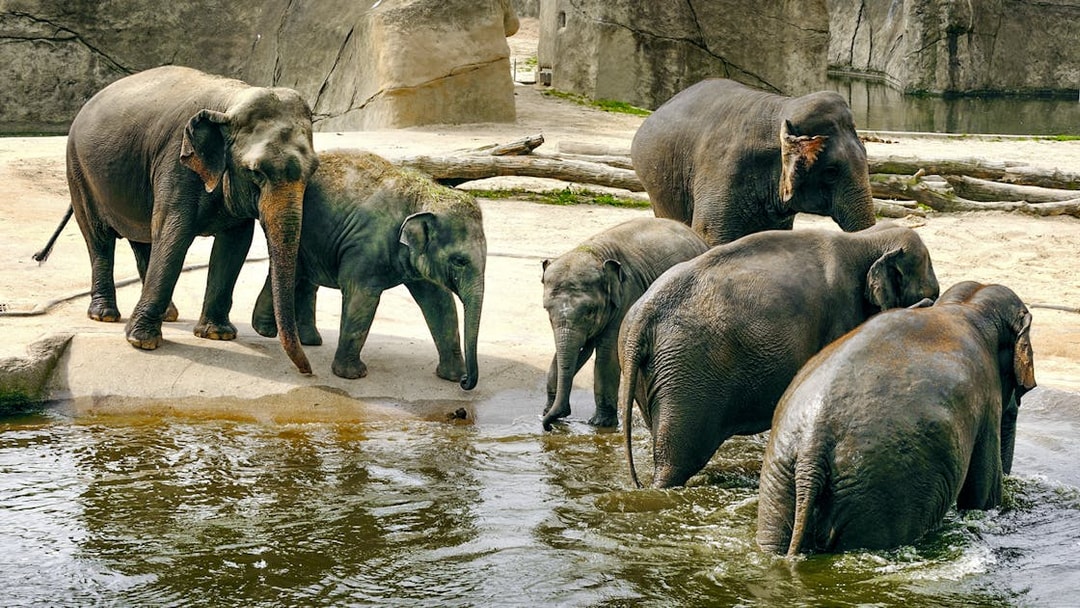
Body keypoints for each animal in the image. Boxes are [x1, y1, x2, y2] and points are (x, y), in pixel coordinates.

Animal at [34, 66, 319, 373]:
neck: (231, 103)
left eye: (314, 169)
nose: (307, 371)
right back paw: (105, 315)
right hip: (79, 172)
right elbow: (175, 234)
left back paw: (168, 314)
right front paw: (142, 342)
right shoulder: (176, 163)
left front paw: (217, 334)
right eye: (256, 172)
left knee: (143, 238)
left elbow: (235, 244)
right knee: (100, 239)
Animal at [251, 150, 486, 388]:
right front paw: (351, 375)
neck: (424, 195)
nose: (466, 381)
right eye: (459, 261)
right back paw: (267, 331)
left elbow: (439, 301)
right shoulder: (365, 246)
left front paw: (452, 376)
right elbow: (362, 297)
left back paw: (305, 339)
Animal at [541, 217, 709, 430]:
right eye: (547, 311)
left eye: (590, 311)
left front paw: (601, 424)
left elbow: (607, 354)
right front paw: (546, 411)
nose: (550, 425)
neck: (595, 252)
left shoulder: (628, 297)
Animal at [618, 222, 940, 489]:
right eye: (933, 295)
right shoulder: (841, 315)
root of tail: (643, 315)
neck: (867, 239)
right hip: (687, 372)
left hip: (655, 372)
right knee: (677, 460)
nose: (928, 303)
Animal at [756, 281, 1037, 555]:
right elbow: (983, 494)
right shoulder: (987, 396)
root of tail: (811, 448)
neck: (965, 305)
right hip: (881, 488)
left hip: (780, 476)